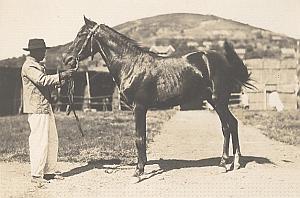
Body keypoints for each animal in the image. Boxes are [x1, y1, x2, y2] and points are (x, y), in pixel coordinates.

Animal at [62, 17, 253, 177]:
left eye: (81, 35)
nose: (67, 59)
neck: (131, 65)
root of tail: (224, 62)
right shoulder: (142, 109)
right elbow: (142, 137)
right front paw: (142, 166)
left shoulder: (139, 108)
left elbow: (139, 138)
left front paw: (138, 172)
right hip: (216, 101)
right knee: (232, 124)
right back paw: (235, 162)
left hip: (219, 101)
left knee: (227, 126)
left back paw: (225, 163)